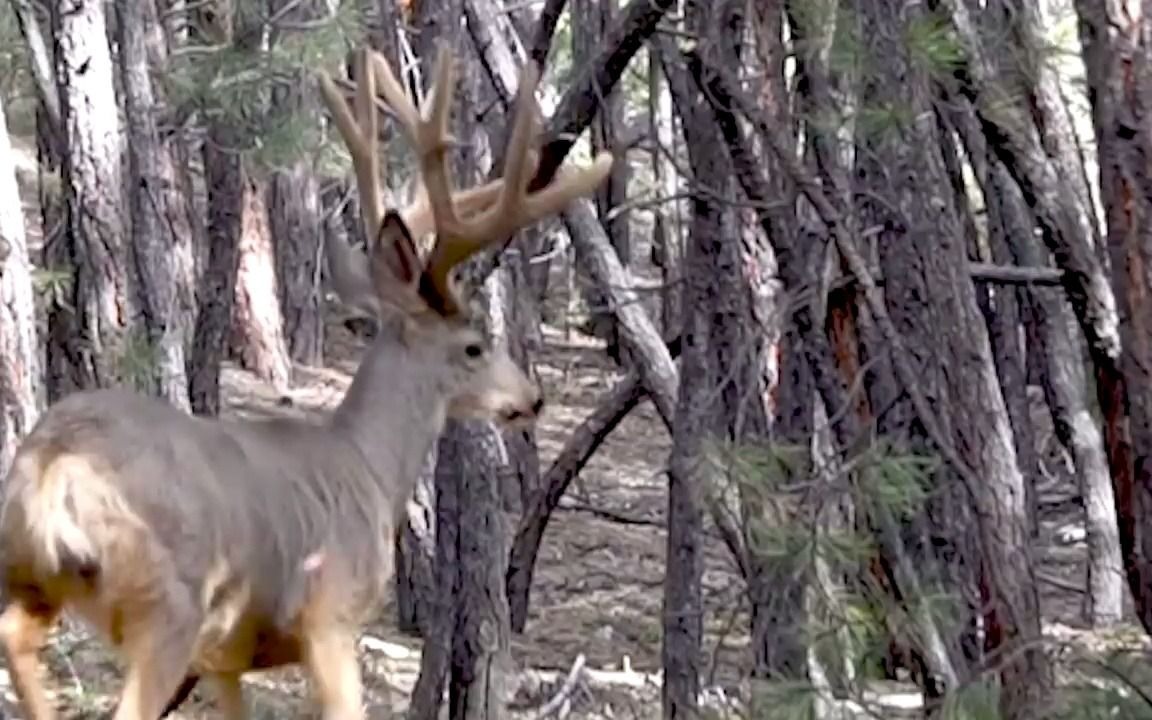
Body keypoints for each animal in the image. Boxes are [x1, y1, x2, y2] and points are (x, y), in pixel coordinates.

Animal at [0, 46, 617, 718]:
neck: (369, 466)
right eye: (474, 347)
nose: (532, 398)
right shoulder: (331, 617)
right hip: (167, 605)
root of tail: (56, 466)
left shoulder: (226, 658)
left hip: (29, 576)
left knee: (15, 638)